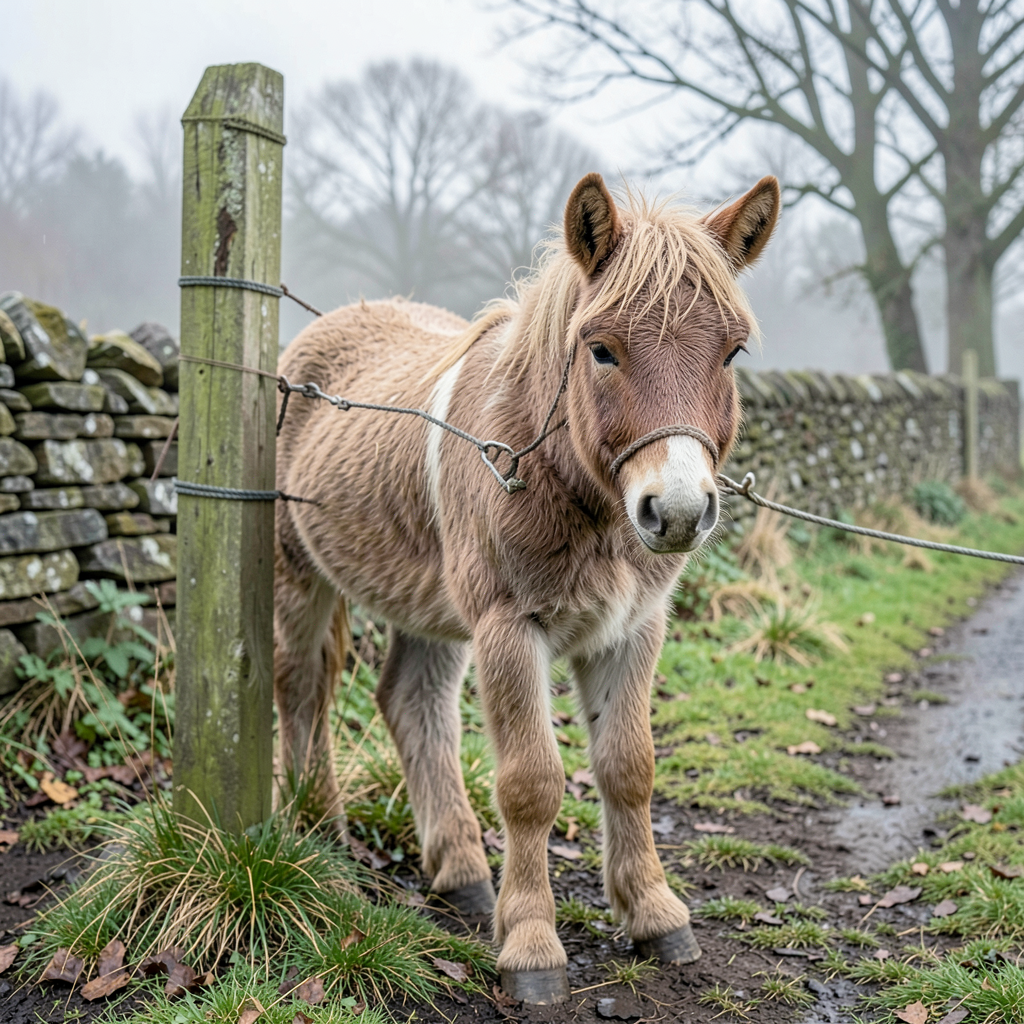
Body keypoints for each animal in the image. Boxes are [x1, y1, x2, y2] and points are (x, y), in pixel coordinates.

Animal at [273, 172, 780, 1004]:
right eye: (601, 350)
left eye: (732, 353)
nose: (676, 511)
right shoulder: (510, 629)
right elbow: (532, 784)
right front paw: (532, 946)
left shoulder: (635, 629)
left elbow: (629, 767)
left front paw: (654, 914)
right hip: (302, 577)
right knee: (302, 687)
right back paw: (316, 827)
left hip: (431, 609)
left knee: (411, 703)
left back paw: (462, 872)